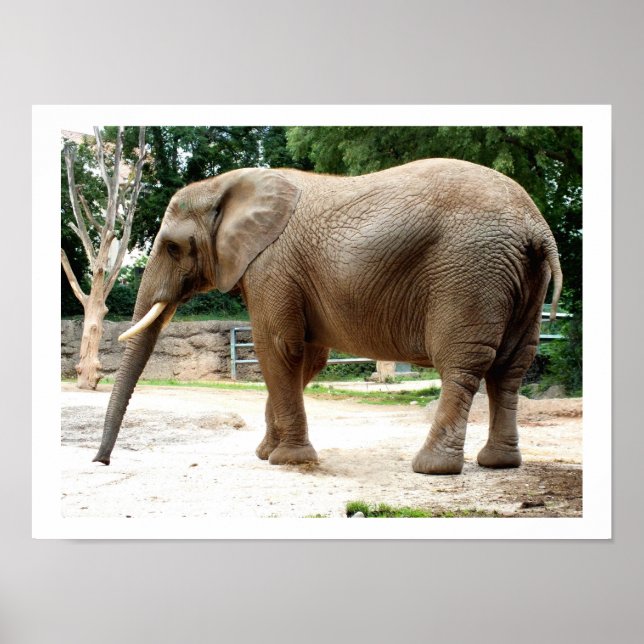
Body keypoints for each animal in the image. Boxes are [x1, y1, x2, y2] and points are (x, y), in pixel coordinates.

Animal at [94, 158, 562, 475]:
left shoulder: (272, 266)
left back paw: (432, 467)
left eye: (173, 248)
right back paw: (500, 463)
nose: (101, 462)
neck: (227, 186)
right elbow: (307, 358)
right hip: (520, 279)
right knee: (512, 367)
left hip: (469, 272)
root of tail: (537, 228)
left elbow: (277, 347)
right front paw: (267, 453)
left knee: (463, 365)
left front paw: (286, 460)